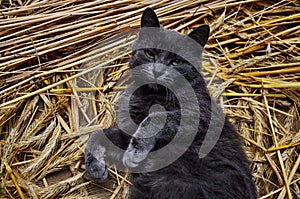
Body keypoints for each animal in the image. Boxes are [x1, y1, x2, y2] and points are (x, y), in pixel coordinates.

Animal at [83, 7, 256, 198]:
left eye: (177, 62)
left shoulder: (199, 116)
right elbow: (97, 134)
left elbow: (157, 117)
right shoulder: (127, 131)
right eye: (150, 53)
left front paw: (134, 153)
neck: (149, 94)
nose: (157, 71)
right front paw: (96, 168)